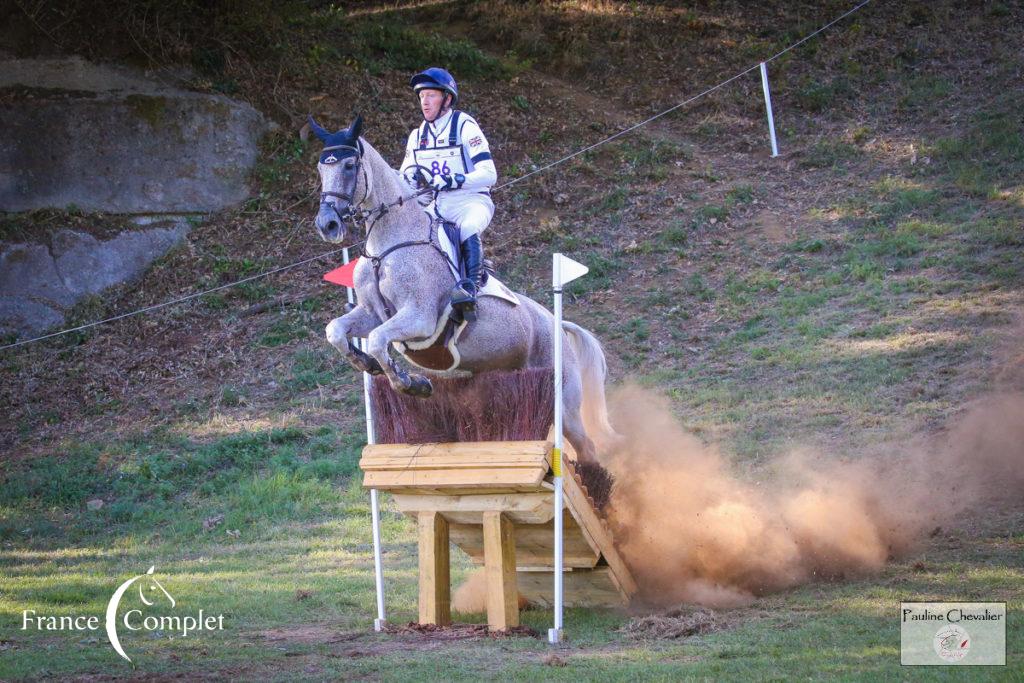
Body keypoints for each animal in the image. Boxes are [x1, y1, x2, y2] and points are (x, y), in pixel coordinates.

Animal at [311, 118, 614, 471]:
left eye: (349, 165)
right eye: (321, 167)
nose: (328, 224)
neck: (387, 245)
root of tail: (557, 324)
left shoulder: (420, 318)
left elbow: (376, 339)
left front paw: (411, 383)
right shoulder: (372, 313)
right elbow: (337, 330)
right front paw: (367, 364)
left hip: (563, 399)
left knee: (587, 447)